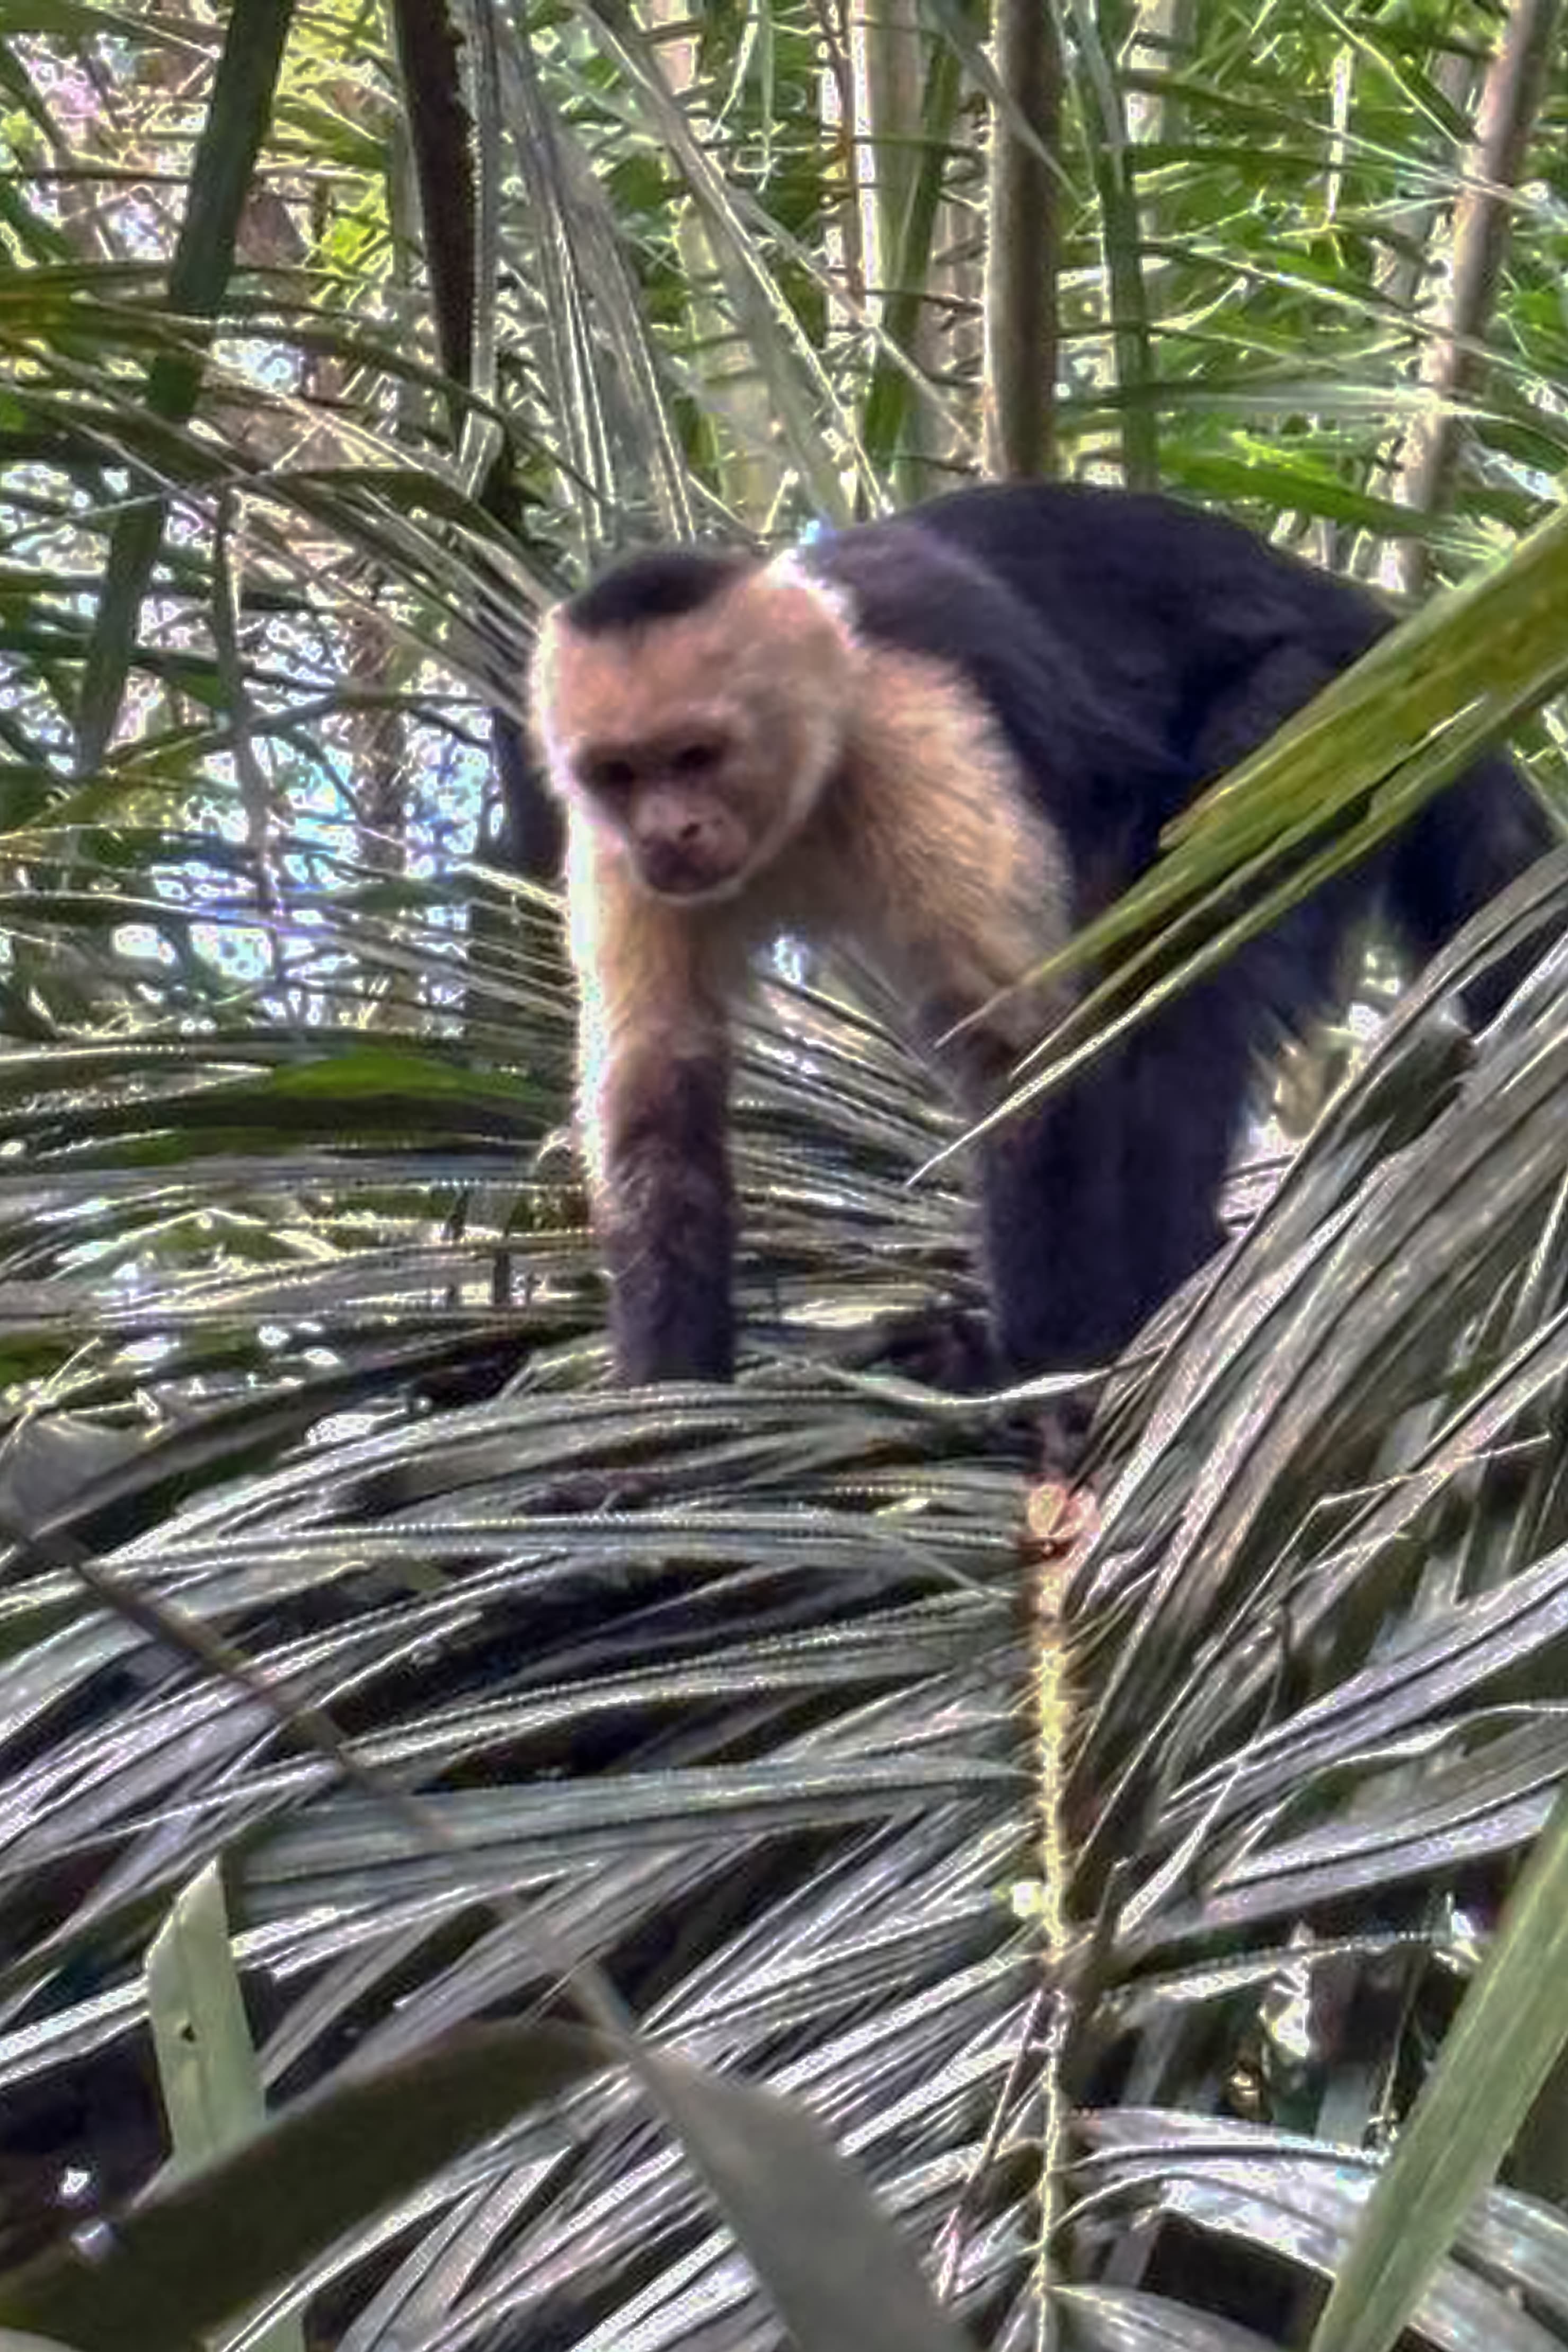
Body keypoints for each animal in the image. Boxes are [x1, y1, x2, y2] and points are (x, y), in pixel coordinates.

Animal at [529, 481, 1553, 1454]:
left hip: (1315, 710)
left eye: (697, 754)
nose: (669, 831)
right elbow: (654, 1093)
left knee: (1180, 956)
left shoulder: (908, 721)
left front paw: (1035, 1366)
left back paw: (1143, 1299)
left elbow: (1020, 1043)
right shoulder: (609, 850)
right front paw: (662, 1399)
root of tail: (1371, 617)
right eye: (620, 773)